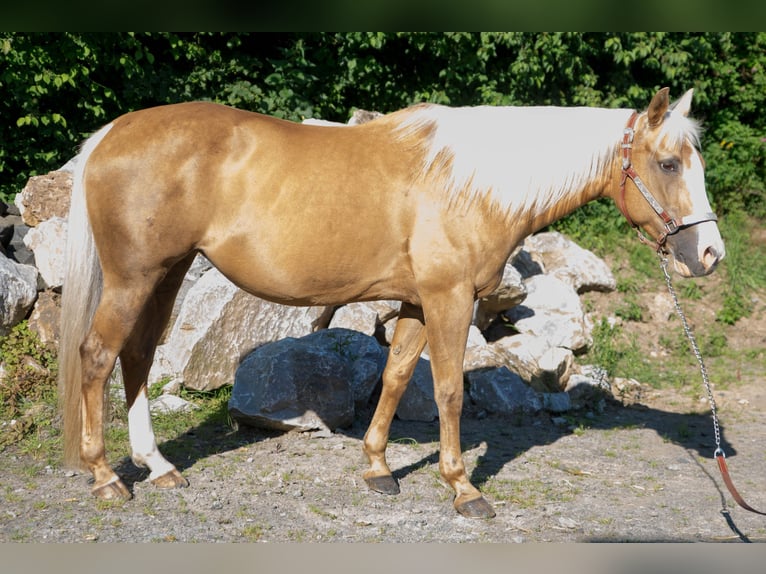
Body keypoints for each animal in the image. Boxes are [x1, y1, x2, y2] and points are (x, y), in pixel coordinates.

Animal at [58, 86, 728, 520]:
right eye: (668, 163)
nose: (709, 254)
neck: (471, 183)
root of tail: (115, 132)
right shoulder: (449, 299)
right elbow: (450, 389)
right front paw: (463, 489)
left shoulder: (415, 302)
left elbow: (398, 375)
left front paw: (378, 468)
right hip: (134, 277)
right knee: (98, 357)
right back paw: (105, 477)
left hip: (165, 275)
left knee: (136, 357)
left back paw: (157, 466)